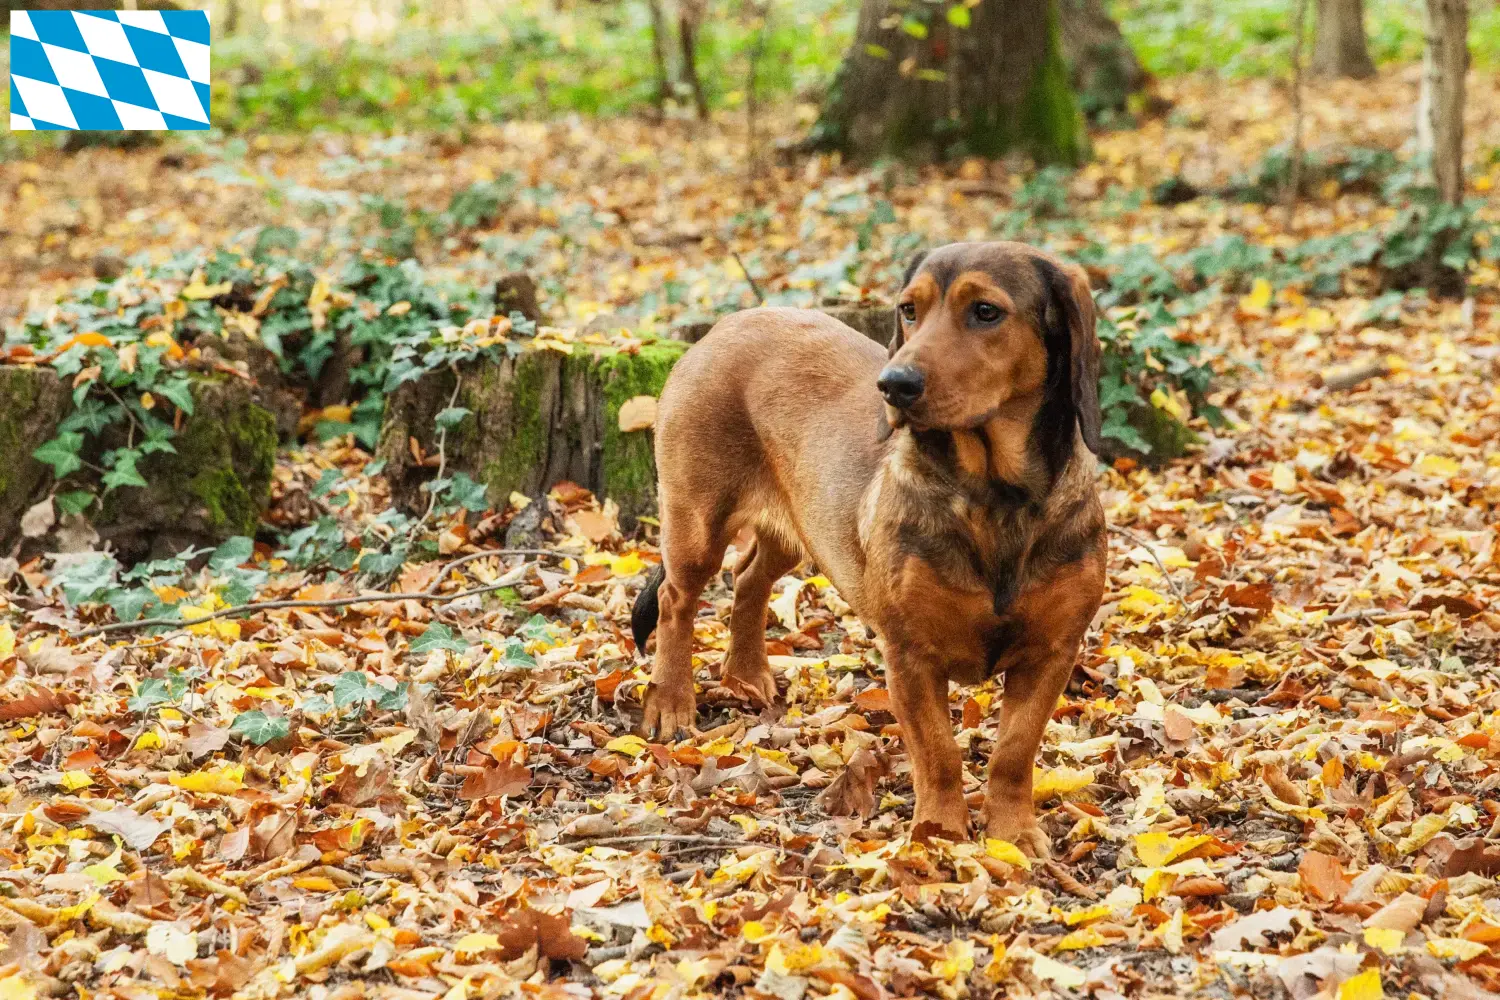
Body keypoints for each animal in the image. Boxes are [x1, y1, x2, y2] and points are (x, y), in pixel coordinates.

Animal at [627, 239, 1110, 851]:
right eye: (909, 309)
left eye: (985, 311)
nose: (894, 384)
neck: (994, 496)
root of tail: (727, 324)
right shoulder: (909, 656)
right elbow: (939, 754)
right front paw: (938, 837)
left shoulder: (1051, 653)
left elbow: (1013, 752)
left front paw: (1013, 836)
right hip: (696, 523)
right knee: (676, 600)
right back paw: (671, 702)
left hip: (801, 526)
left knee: (749, 577)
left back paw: (746, 673)